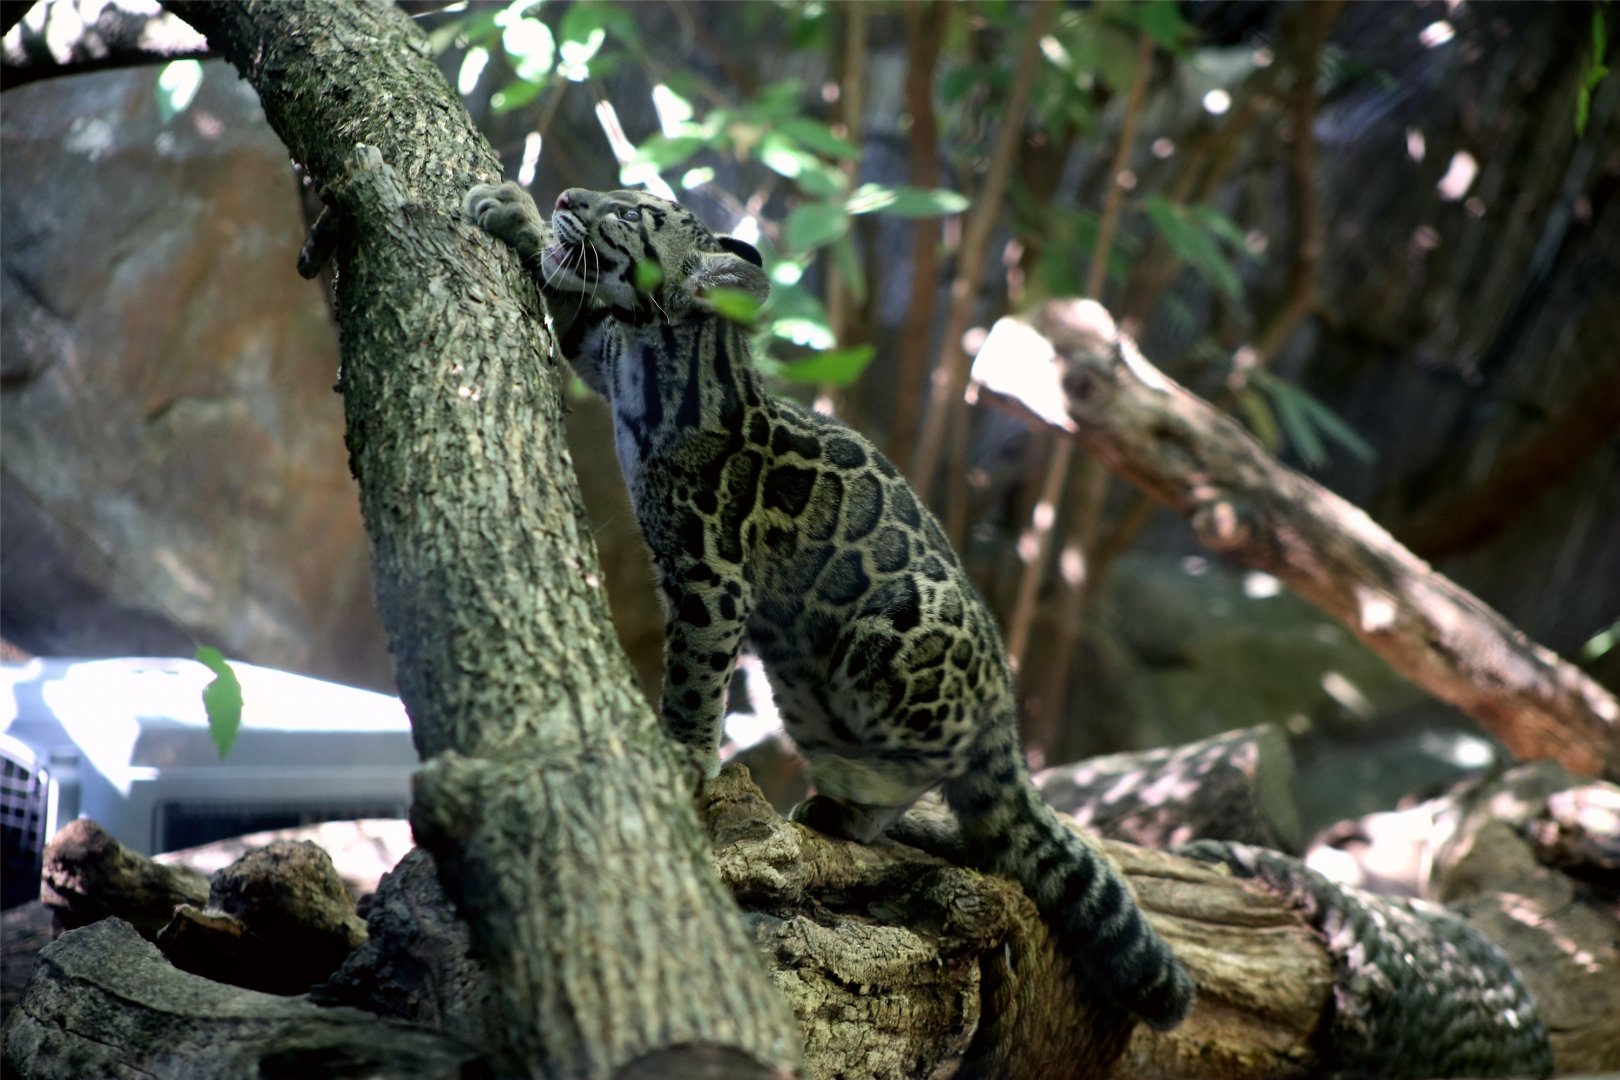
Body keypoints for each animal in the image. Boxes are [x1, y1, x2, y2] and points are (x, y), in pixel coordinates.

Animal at [463, 180, 1196, 1031]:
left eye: (631, 215)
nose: (569, 194)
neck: (665, 359)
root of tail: (1005, 716)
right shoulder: (603, 356)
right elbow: (573, 306)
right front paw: (514, 212)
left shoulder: (712, 578)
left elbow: (694, 681)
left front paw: (681, 754)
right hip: (801, 683)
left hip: (880, 646)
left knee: (931, 761)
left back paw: (857, 801)